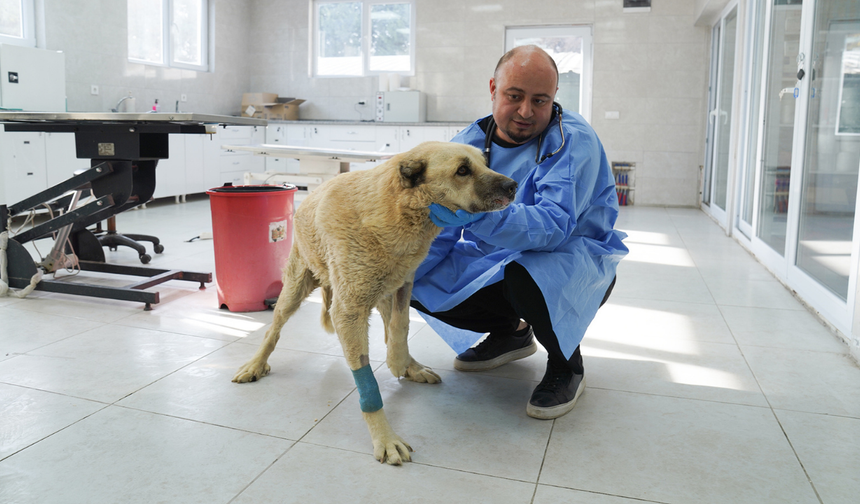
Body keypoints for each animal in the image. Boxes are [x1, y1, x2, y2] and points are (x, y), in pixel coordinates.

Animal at [233, 141, 516, 464]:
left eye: (485, 163)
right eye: (462, 170)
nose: (514, 186)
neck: (396, 210)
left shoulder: (404, 282)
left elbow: (401, 326)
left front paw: (400, 362)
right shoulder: (349, 311)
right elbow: (367, 380)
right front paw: (385, 437)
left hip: (382, 292)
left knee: (390, 326)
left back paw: (410, 365)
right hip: (295, 288)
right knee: (273, 330)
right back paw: (255, 364)